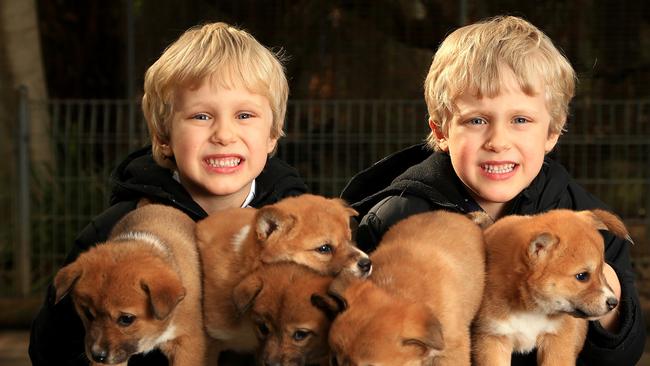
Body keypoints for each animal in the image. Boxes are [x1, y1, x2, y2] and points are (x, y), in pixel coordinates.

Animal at [470, 209, 628, 366]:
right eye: (582, 276)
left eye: (602, 271)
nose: (614, 303)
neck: (531, 311)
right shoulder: (493, 338)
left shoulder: (558, 339)